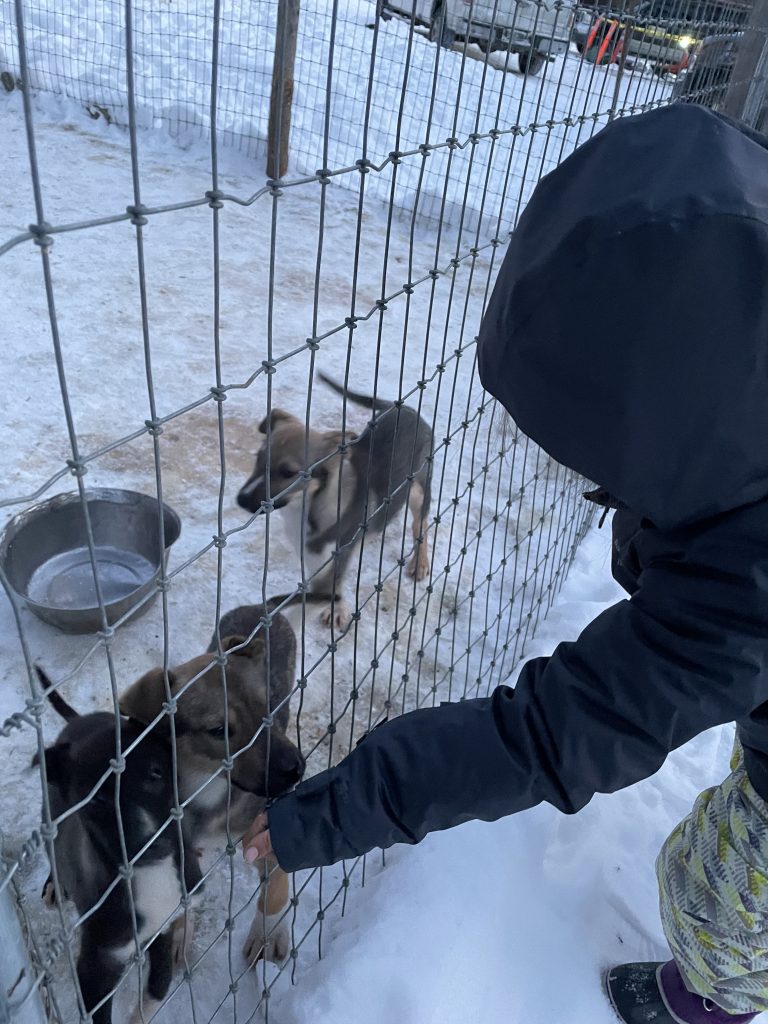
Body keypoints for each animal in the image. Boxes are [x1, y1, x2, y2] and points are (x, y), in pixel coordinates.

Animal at [37, 667, 199, 1024]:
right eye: (97, 799)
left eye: (156, 773)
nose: (150, 844)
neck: (151, 877)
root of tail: (79, 722)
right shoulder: (97, 964)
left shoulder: (164, 926)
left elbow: (160, 983)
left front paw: (142, 1013)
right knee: (53, 850)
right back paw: (54, 883)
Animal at [120, 606, 303, 966]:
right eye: (219, 730)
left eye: (267, 707)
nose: (296, 769)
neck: (208, 787)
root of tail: (260, 607)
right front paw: (180, 933)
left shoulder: (269, 829)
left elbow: (275, 891)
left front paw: (268, 934)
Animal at [237, 374, 434, 622]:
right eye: (258, 458)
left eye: (288, 472)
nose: (241, 500)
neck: (306, 506)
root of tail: (407, 409)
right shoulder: (314, 563)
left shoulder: (329, 568)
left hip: (419, 490)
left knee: (420, 524)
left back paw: (420, 562)